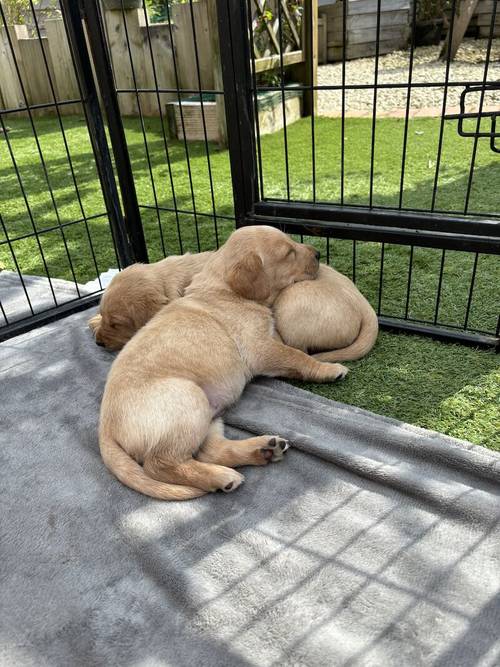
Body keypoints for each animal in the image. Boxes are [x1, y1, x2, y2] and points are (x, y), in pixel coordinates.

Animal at [91, 247, 378, 362]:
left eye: (117, 324)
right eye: (105, 317)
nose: (98, 344)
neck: (167, 280)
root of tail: (366, 307)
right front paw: (93, 322)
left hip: (291, 303)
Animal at [100, 227, 350, 498]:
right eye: (288, 253)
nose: (318, 254)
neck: (224, 290)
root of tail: (105, 427)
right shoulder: (260, 348)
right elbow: (297, 356)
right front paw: (328, 369)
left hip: (210, 411)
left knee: (211, 452)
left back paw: (262, 450)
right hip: (188, 399)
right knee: (159, 463)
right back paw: (220, 476)